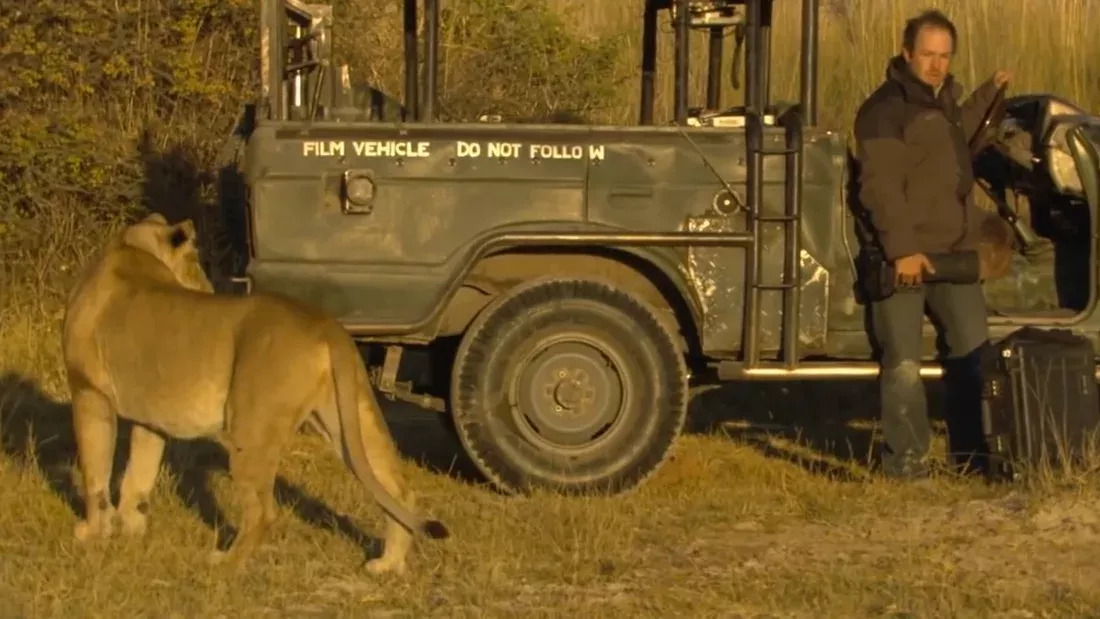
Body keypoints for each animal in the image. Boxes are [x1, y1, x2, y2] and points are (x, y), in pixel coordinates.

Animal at [61, 213, 449, 573]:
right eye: (195, 262)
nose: (208, 288)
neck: (132, 249)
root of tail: (325, 323)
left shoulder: (88, 393)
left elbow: (95, 474)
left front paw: (91, 535)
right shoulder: (150, 419)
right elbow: (137, 478)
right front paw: (131, 531)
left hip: (252, 428)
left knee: (263, 511)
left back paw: (225, 563)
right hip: (351, 417)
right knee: (397, 489)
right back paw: (388, 564)